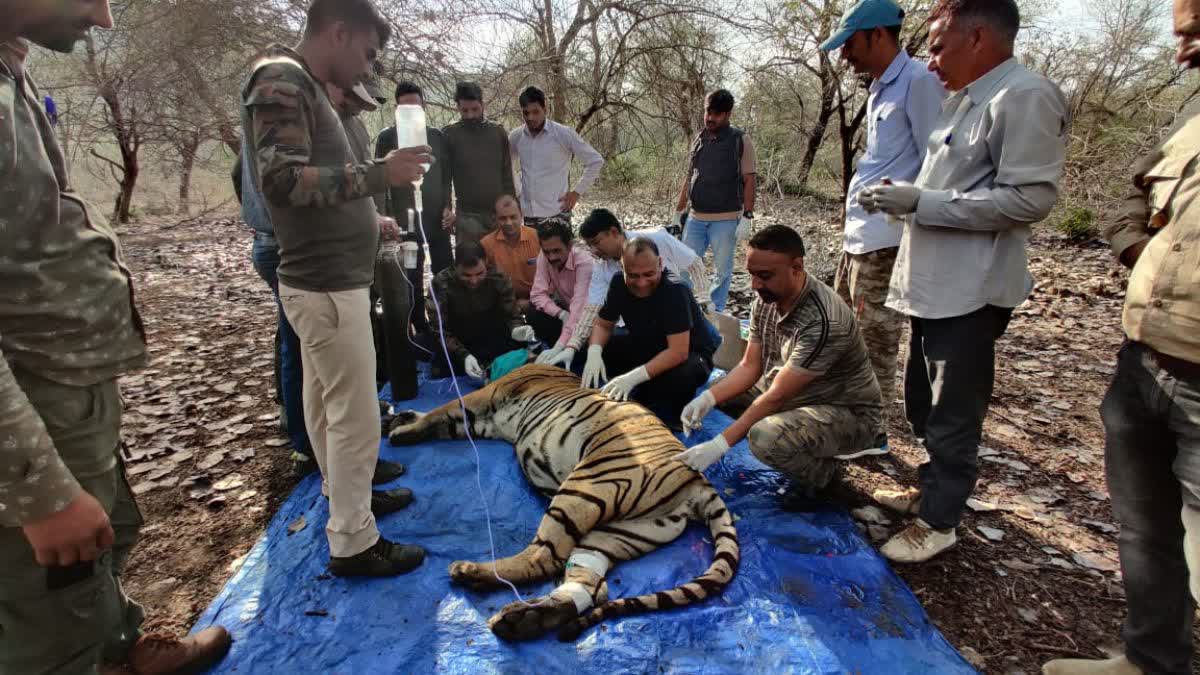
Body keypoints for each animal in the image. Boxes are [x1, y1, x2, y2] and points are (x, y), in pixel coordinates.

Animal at [386, 362, 739, 638]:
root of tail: (698, 479)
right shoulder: (481, 422)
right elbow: (442, 419)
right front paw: (403, 418)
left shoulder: (486, 398)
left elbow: (442, 410)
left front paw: (402, 431)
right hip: (619, 532)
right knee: (592, 586)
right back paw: (525, 619)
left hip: (587, 486)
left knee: (544, 557)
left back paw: (470, 573)